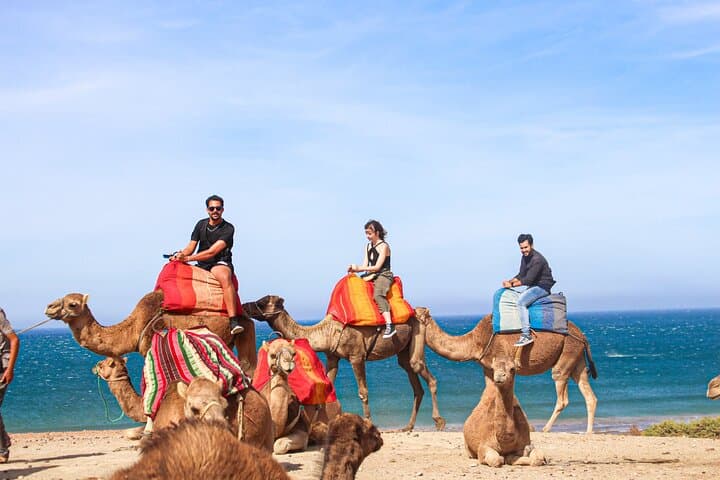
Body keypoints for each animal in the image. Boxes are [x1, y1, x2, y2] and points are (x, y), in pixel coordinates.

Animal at [242, 295, 445, 431]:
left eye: (262, 301)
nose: (244, 306)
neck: (326, 332)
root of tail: (421, 311)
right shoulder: (333, 357)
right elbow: (326, 386)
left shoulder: (357, 356)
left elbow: (363, 392)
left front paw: (368, 423)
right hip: (404, 348)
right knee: (413, 378)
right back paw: (408, 427)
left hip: (418, 330)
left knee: (420, 367)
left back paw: (439, 422)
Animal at [415, 307, 598, 434]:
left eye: (415, 314)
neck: (475, 342)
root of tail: (582, 336)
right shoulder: (488, 368)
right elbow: (487, 395)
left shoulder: (505, 364)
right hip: (577, 359)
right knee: (589, 393)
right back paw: (588, 432)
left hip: (567, 353)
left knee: (561, 392)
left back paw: (546, 428)